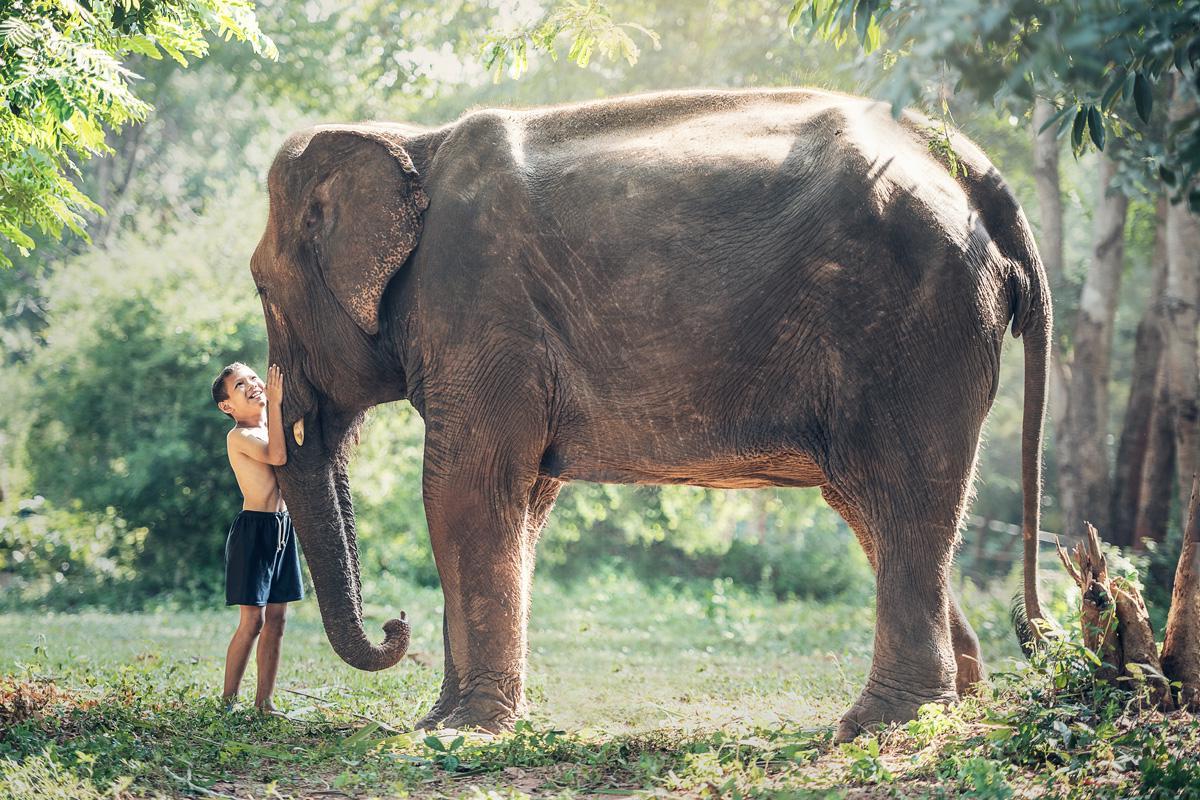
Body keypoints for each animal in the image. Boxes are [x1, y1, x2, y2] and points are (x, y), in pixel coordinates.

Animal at [249, 87, 1051, 742]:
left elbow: (464, 492)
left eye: (258, 287)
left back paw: (879, 726)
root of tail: (968, 165)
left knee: (901, 493)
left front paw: (456, 733)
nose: (395, 624)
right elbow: (522, 502)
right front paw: (446, 723)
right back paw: (962, 702)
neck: (412, 141)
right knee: (871, 506)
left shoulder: (481, 308)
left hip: (913, 327)